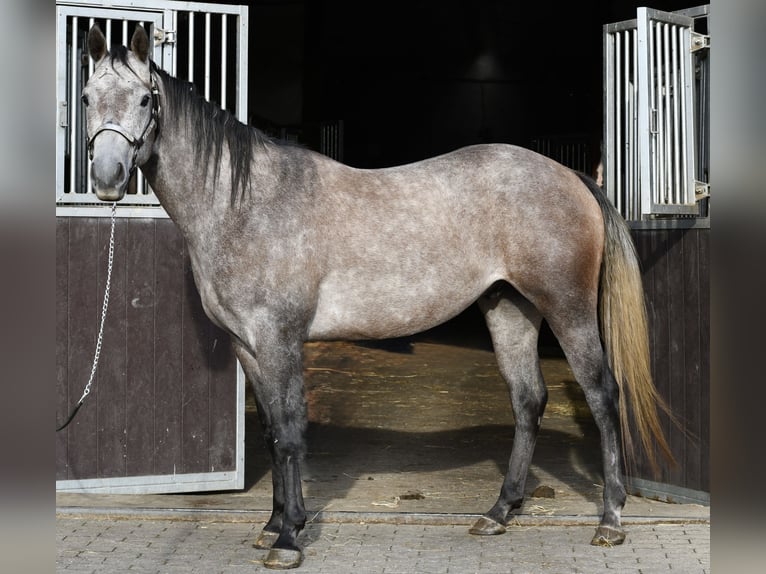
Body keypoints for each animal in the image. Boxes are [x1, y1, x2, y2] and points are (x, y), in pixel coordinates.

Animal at [82, 24, 674, 569]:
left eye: (145, 99)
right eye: (87, 96)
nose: (108, 177)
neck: (246, 203)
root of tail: (571, 175)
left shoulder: (279, 340)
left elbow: (290, 433)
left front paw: (289, 539)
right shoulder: (247, 347)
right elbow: (271, 432)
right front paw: (274, 523)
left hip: (567, 309)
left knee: (602, 395)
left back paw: (610, 519)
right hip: (509, 307)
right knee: (528, 399)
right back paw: (499, 512)